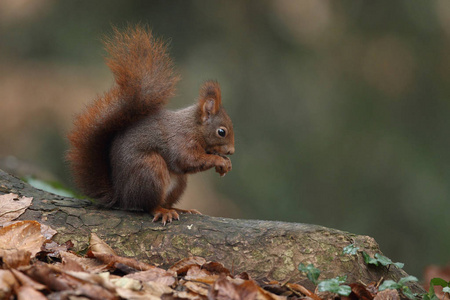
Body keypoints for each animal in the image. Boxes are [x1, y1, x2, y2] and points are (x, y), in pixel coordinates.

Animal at [67, 25, 236, 224]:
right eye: (221, 132)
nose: (231, 151)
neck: (193, 127)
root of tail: (122, 196)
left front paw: (225, 163)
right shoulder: (180, 141)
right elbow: (188, 160)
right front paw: (219, 160)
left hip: (178, 183)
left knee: (166, 201)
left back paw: (180, 209)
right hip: (150, 170)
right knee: (148, 205)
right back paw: (162, 211)